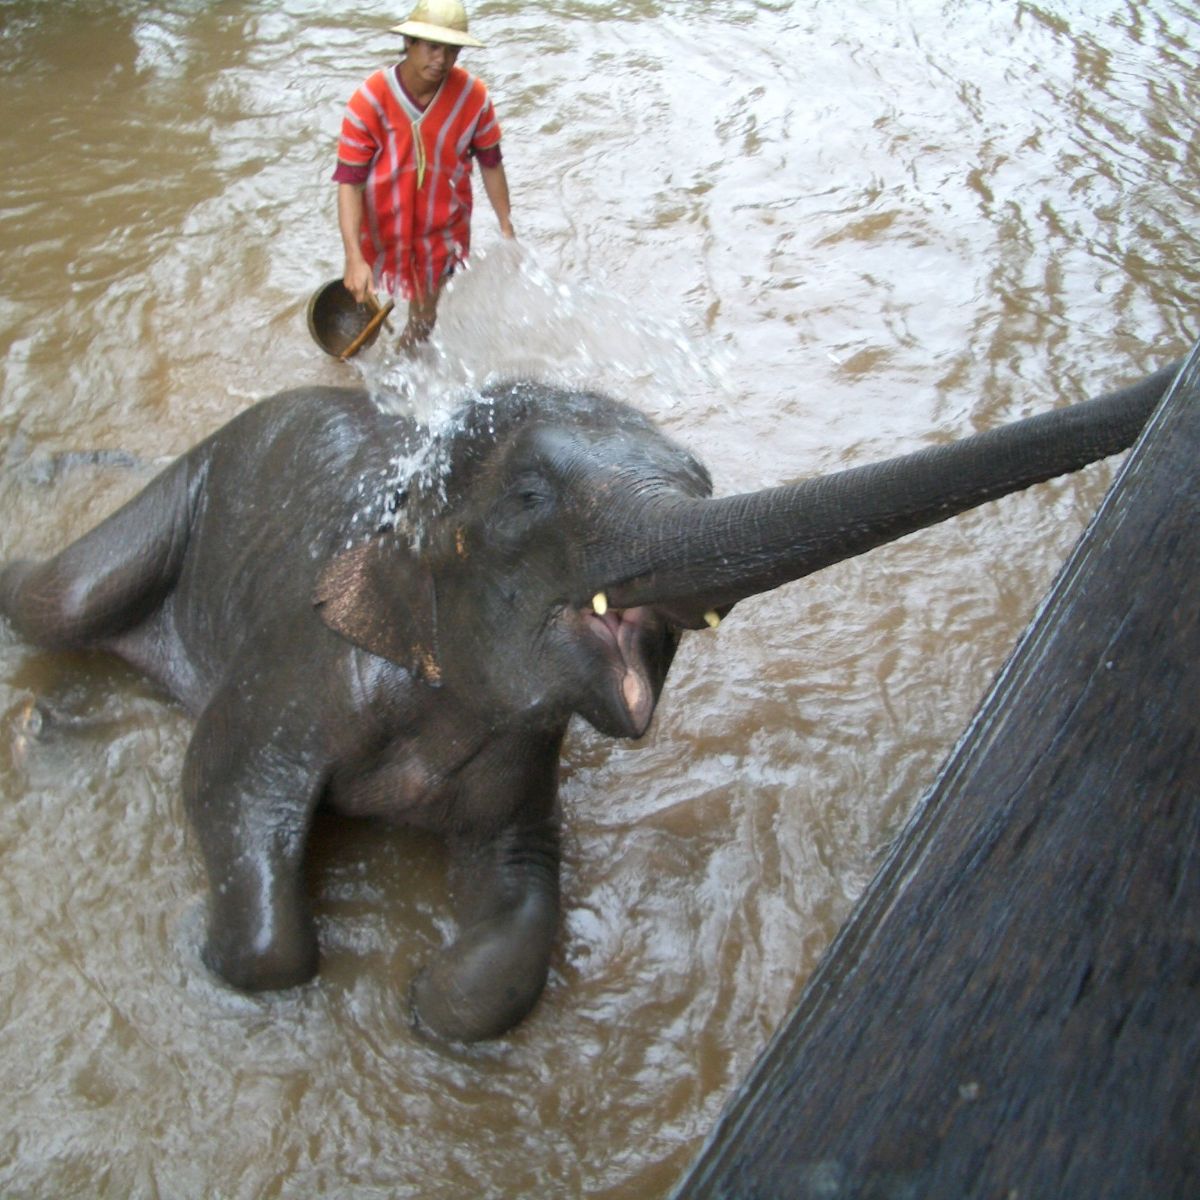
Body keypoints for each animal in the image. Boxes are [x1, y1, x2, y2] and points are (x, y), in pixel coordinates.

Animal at [0, 359, 1182, 1042]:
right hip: (181, 498)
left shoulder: (520, 749)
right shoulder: (302, 666)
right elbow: (226, 787)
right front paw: (247, 957)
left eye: (702, 485)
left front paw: (432, 1002)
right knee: (59, 598)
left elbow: (522, 874)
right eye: (531, 495)